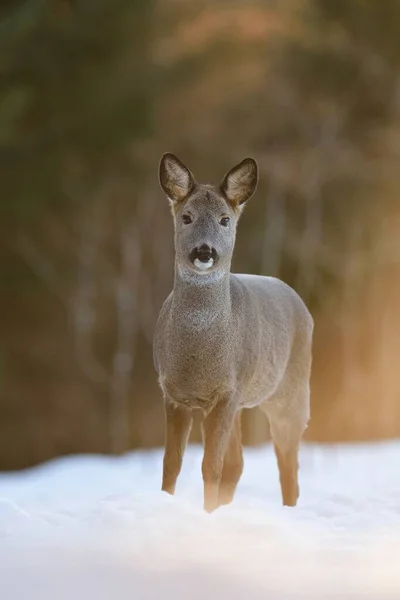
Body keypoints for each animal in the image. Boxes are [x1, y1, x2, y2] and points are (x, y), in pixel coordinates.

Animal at [153, 152, 312, 512]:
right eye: (187, 216)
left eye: (224, 219)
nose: (204, 251)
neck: (196, 358)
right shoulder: (174, 393)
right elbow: (172, 464)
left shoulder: (228, 392)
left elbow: (210, 466)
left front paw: (207, 515)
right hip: (245, 403)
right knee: (239, 464)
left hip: (291, 392)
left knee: (289, 465)